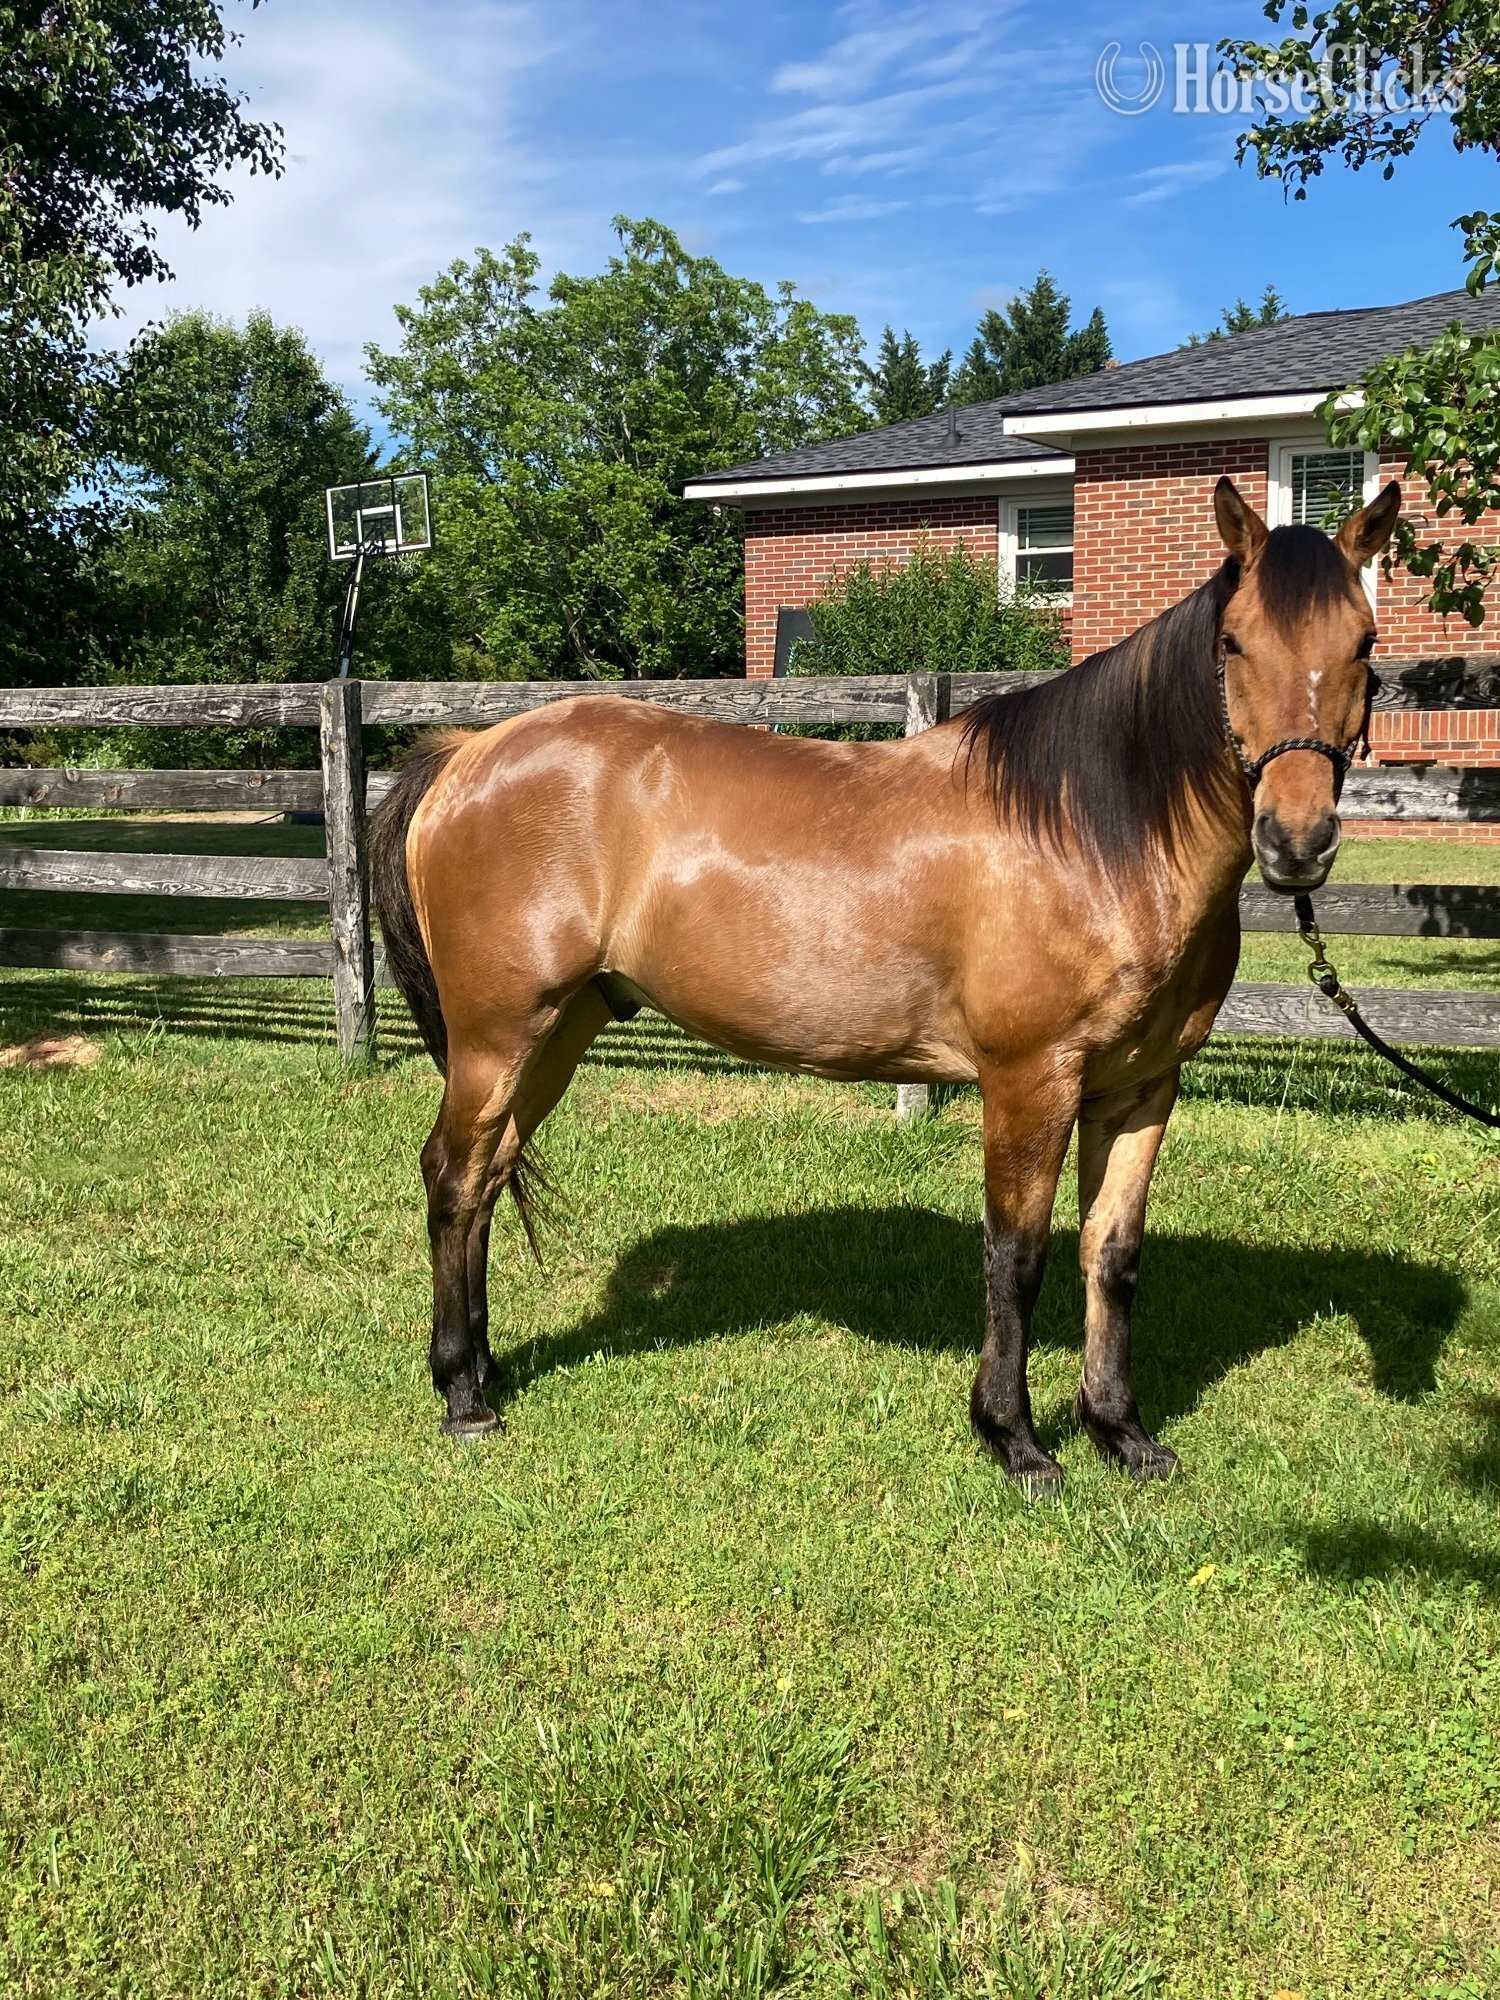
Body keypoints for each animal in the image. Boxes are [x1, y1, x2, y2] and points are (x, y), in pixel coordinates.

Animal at [369, 475, 1399, 1491]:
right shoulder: (1030, 1082)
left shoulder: (1140, 1089)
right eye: (1234, 643)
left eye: (1365, 643)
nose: (1297, 841)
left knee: (489, 1176)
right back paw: (462, 1396)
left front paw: (1122, 1433)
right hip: (498, 1034)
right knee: (453, 1176)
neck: (1090, 831)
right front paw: (1016, 1439)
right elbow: (1016, 1257)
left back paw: (484, 1367)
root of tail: (467, 755)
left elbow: (1112, 1255)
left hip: (560, 1030)